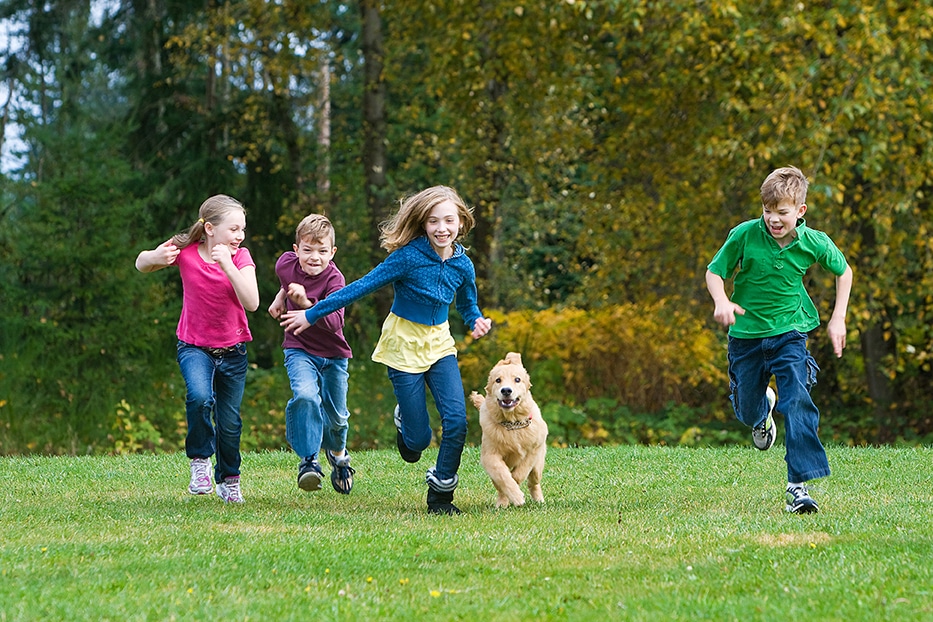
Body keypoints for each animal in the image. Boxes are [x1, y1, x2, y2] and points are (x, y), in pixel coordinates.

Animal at [474, 354, 548, 510]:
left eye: (517, 379)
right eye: (498, 380)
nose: (506, 390)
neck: (512, 423)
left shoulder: (534, 450)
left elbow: (519, 473)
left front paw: (517, 495)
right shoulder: (490, 456)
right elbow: (502, 476)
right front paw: (514, 497)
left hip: (538, 464)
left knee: (534, 481)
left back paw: (539, 500)